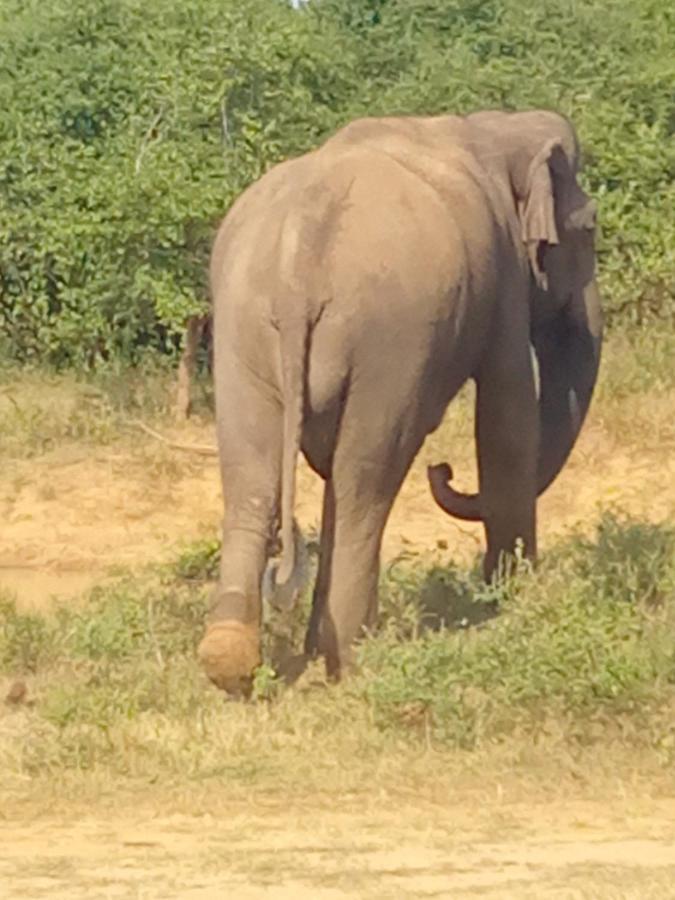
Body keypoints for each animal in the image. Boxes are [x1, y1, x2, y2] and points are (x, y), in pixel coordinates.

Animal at [198, 109, 604, 692]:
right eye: (589, 228)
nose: (444, 469)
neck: (494, 125)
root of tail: (300, 260)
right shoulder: (503, 269)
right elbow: (506, 415)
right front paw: (508, 601)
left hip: (239, 333)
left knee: (256, 477)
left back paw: (231, 659)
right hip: (389, 342)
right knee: (367, 480)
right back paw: (353, 659)